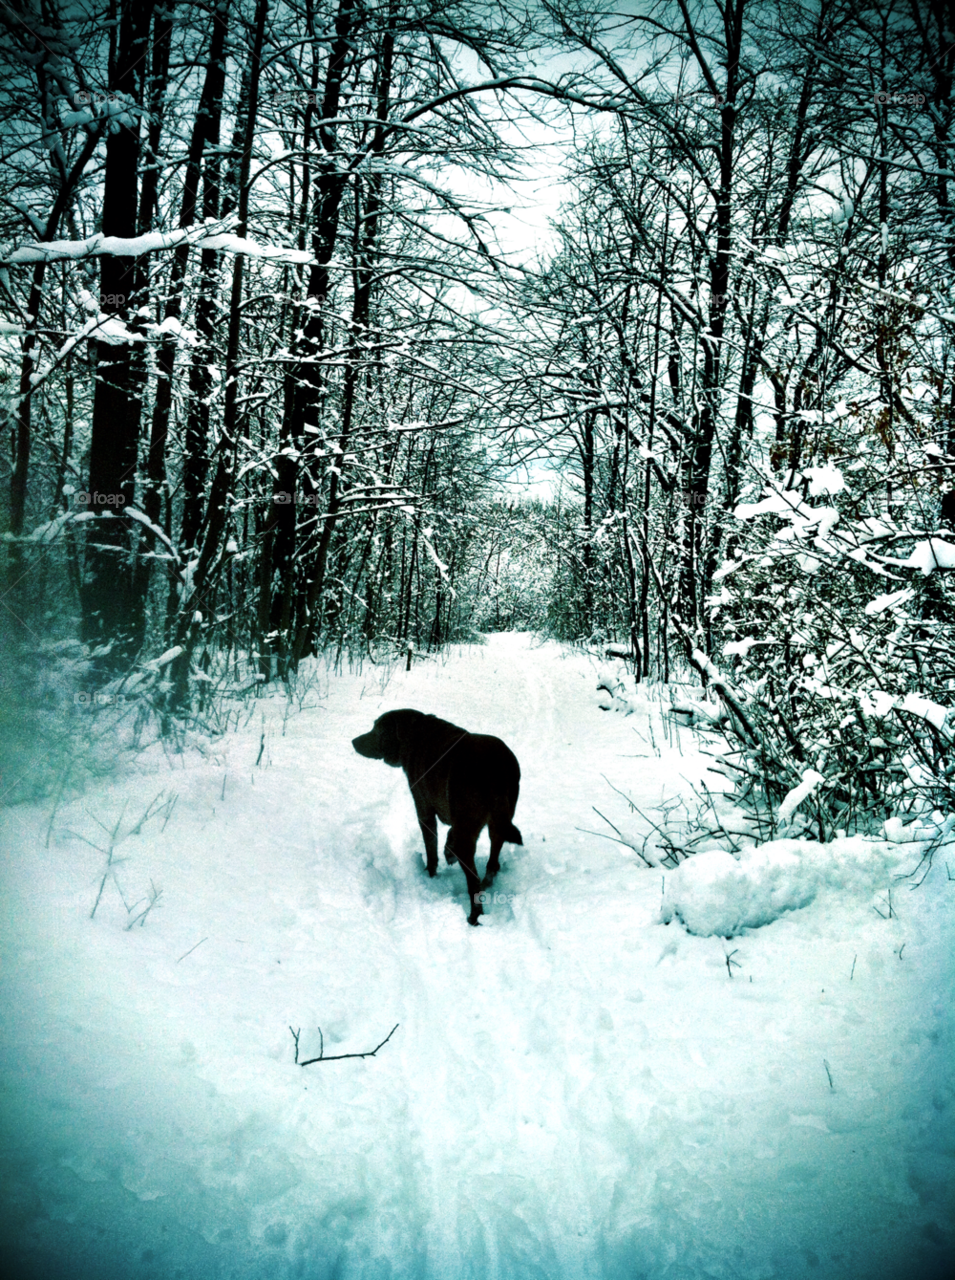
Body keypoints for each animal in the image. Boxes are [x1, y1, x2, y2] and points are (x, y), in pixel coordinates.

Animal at [353, 706, 524, 926]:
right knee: (494, 859)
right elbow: (449, 834)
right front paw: (447, 851)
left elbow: (431, 847)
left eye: (378, 729)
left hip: (468, 831)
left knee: (473, 881)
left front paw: (431, 875)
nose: (354, 741)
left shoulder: (424, 809)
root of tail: (496, 771)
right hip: (498, 822)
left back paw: (474, 917)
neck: (414, 736)